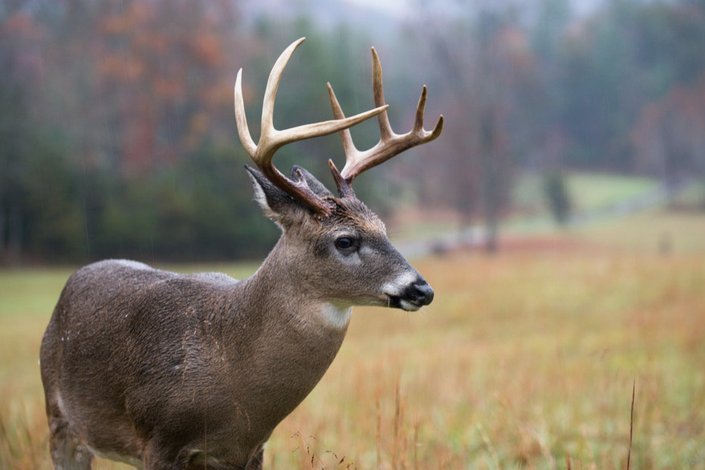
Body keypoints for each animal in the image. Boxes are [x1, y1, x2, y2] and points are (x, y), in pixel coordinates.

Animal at [39, 37, 443, 470]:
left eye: (383, 227)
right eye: (345, 240)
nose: (422, 289)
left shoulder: (251, 448)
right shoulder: (158, 438)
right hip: (59, 415)